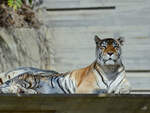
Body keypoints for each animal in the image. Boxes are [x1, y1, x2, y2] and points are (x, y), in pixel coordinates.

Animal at [0, 35, 131, 94]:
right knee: (13, 87)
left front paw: (118, 91)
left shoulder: (125, 84)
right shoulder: (84, 88)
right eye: (103, 47)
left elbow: (126, 89)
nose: (110, 53)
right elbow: (101, 90)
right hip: (30, 80)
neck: (110, 69)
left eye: (115, 46)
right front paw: (108, 91)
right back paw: (26, 91)